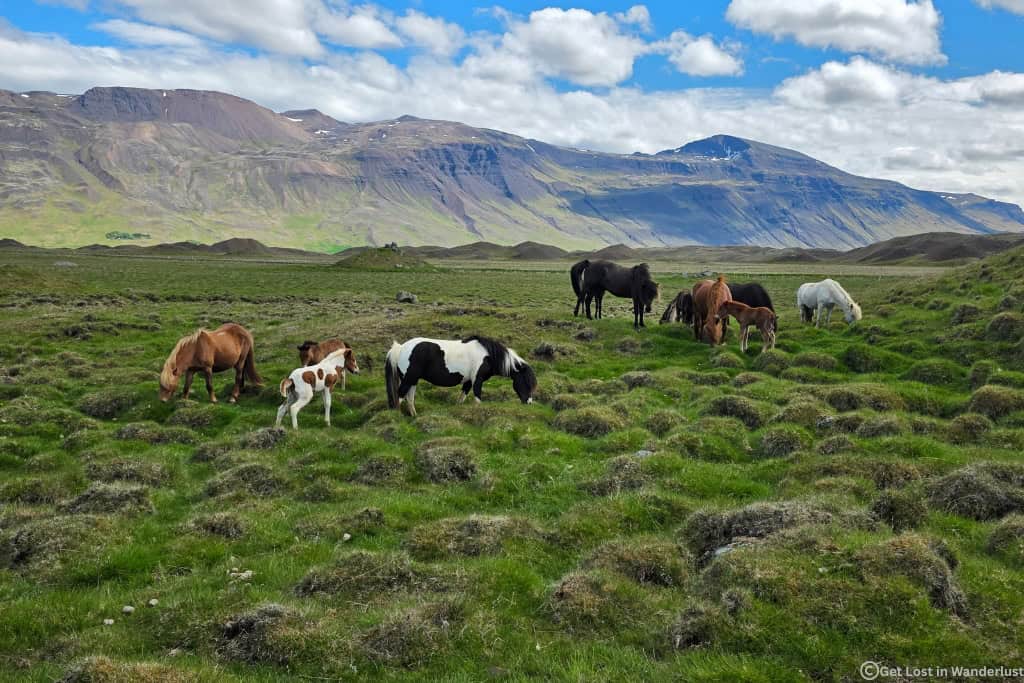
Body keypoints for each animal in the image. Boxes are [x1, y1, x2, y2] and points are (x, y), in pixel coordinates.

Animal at [385, 336, 537, 417]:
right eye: (526, 382)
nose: (529, 402)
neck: (488, 355)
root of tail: (401, 348)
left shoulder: (468, 381)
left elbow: (462, 398)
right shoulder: (477, 380)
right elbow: (478, 398)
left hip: (412, 380)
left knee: (409, 398)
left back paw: (414, 416)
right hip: (409, 379)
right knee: (399, 396)